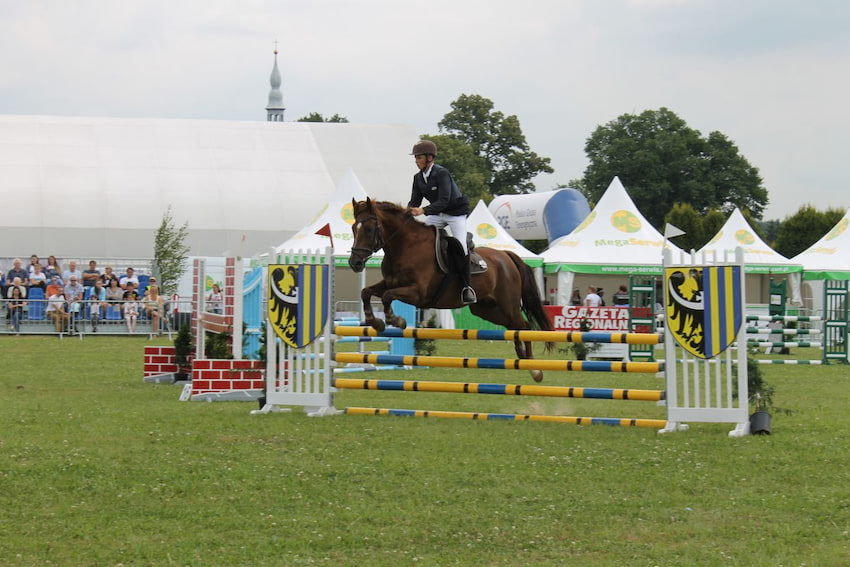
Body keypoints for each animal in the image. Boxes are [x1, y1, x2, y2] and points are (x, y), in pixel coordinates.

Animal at [348, 199, 552, 382]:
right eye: (353, 228)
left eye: (368, 229)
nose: (355, 263)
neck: (405, 247)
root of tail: (507, 256)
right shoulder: (389, 283)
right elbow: (366, 292)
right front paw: (375, 322)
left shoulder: (418, 293)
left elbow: (387, 297)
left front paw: (396, 320)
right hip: (487, 310)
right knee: (515, 328)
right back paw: (523, 359)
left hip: (507, 305)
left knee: (525, 326)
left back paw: (534, 369)